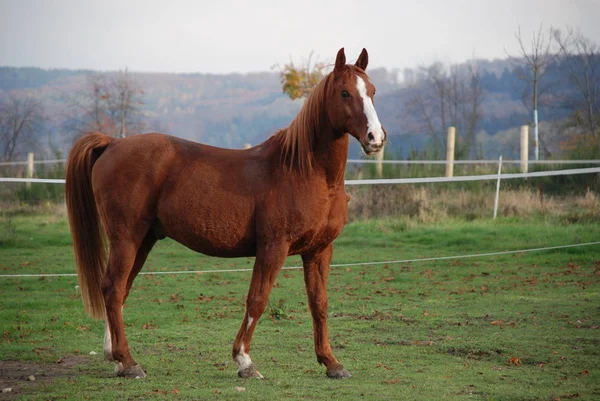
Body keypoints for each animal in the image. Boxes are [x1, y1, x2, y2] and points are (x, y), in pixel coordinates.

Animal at [64, 47, 384, 378]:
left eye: (372, 91)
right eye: (345, 93)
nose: (375, 137)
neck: (307, 172)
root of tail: (113, 143)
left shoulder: (319, 250)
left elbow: (319, 303)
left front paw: (331, 363)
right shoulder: (273, 247)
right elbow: (257, 299)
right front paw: (244, 361)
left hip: (143, 240)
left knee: (119, 290)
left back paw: (114, 357)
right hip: (126, 237)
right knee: (113, 288)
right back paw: (128, 362)